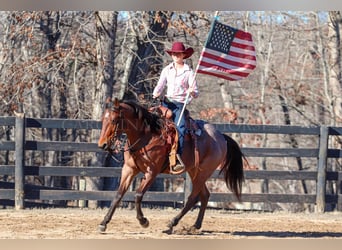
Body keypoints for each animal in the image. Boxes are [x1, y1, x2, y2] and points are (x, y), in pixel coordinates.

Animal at [97, 97, 244, 234]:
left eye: (114, 120)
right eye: (103, 120)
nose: (102, 144)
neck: (147, 136)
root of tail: (221, 137)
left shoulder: (152, 172)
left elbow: (138, 195)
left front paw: (143, 221)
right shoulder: (129, 169)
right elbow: (118, 195)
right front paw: (104, 223)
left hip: (203, 172)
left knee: (193, 197)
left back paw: (172, 222)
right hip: (194, 171)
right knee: (204, 195)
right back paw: (195, 225)